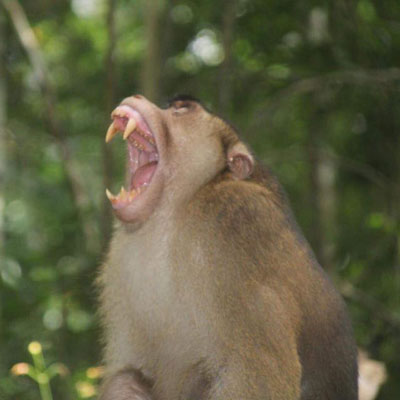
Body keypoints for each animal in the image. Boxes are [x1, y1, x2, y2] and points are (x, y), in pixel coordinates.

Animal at [97, 94, 360, 400]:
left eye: (182, 108)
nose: (138, 97)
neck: (175, 211)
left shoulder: (237, 221)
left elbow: (259, 375)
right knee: (125, 381)